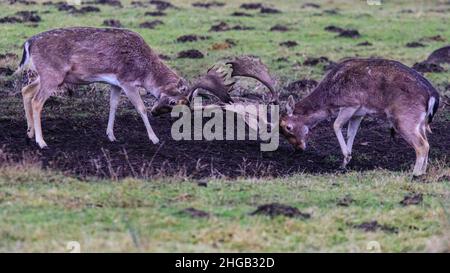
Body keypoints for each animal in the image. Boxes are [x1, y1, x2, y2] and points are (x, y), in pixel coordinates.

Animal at [14, 26, 232, 148]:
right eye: (173, 101)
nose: (156, 112)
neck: (145, 71)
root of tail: (28, 43)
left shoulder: (116, 83)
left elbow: (113, 106)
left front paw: (111, 136)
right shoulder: (127, 81)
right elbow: (140, 108)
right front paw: (154, 138)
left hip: (48, 76)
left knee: (26, 90)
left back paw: (29, 133)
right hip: (53, 74)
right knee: (37, 101)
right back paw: (42, 142)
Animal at [230, 57, 442, 176]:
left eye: (287, 127)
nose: (299, 149)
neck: (329, 97)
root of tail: (433, 95)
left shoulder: (350, 104)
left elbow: (335, 126)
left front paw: (345, 158)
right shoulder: (359, 113)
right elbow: (351, 133)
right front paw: (345, 163)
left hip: (404, 118)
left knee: (422, 145)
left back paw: (415, 174)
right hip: (420, 122)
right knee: (427, 142)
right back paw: (423, 172)